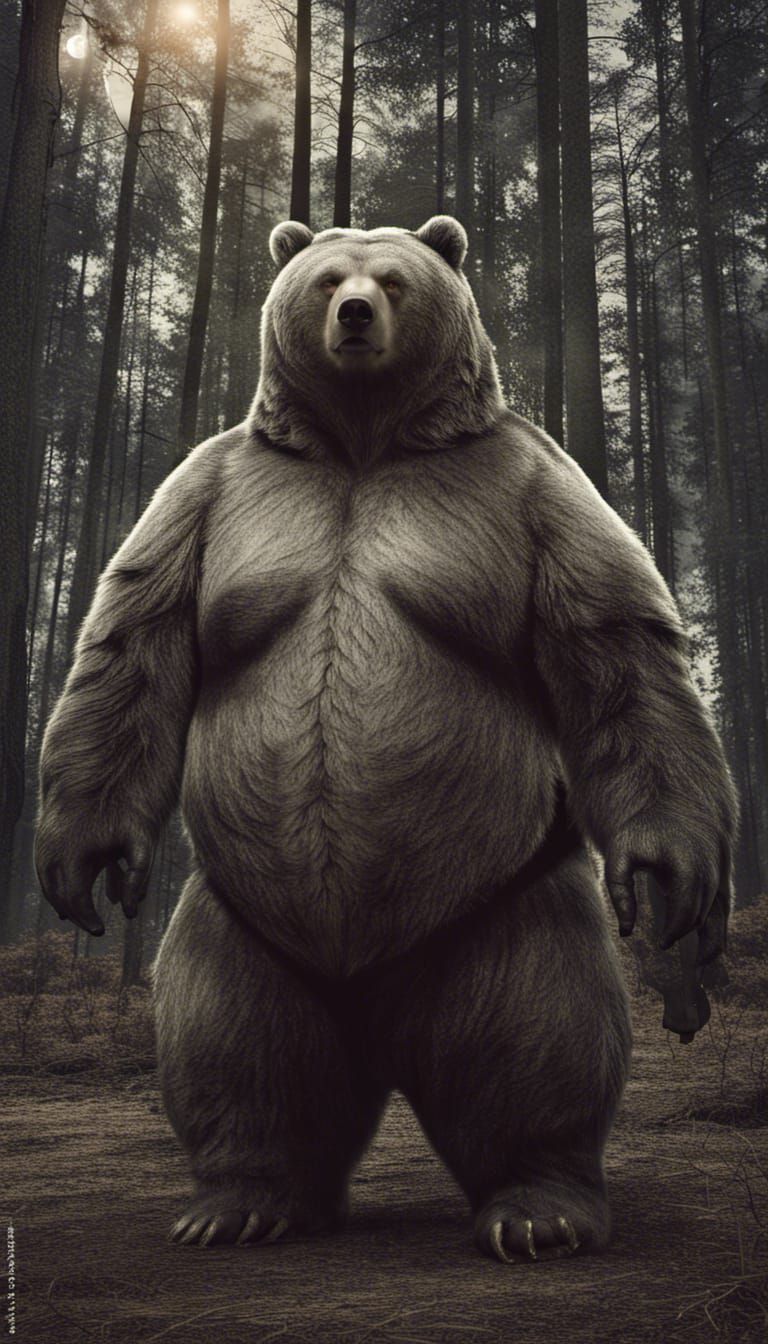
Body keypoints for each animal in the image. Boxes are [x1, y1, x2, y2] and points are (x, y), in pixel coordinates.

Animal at [35, 215, 738, 1263]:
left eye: (395, 280)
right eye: (328, 277)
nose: (357, 314)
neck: (365, 444)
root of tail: (368, 999)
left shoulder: (528, 489)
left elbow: (616, 639)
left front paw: (672, 871)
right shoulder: (214, 494)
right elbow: (134, 640)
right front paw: (83, 862)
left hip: (501, 905)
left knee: (539, 1030)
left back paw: (539, 1208)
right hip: (241, 915)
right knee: (232, 1041)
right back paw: (239, 1200)